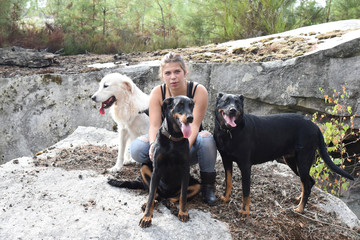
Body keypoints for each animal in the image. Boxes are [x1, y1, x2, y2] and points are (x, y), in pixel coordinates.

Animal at [214, 93, 354, 217]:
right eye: (226, 101)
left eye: (237, 103)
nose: (232, 110)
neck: (230, 133)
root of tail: (315, 126)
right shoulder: (226, 160)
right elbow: (228, 181)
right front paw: (225, 198)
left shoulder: (245, 165)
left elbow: (246, 191)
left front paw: (244, 212)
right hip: (292, 161)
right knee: (309, 182)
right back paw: (299, 199)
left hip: (303, 160)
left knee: (307, 183)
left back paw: (300, 209)